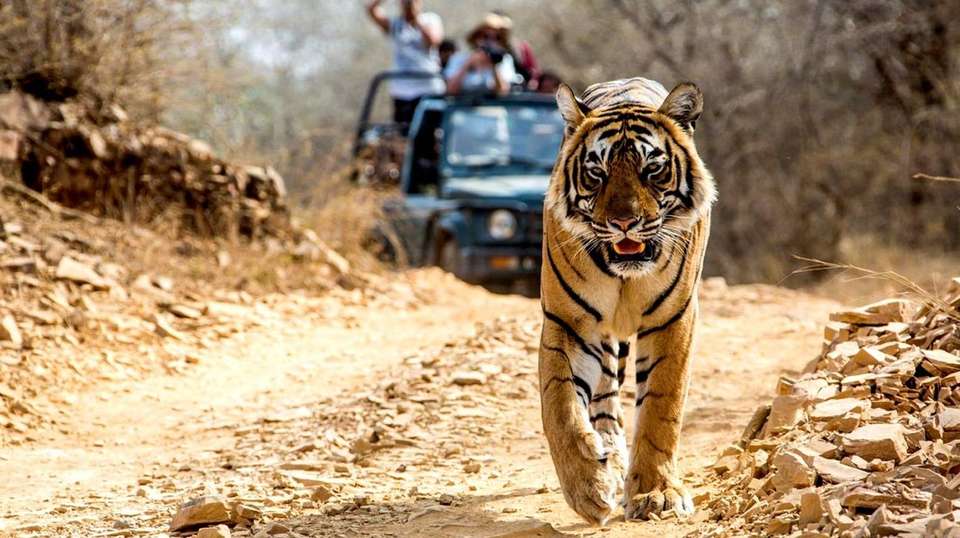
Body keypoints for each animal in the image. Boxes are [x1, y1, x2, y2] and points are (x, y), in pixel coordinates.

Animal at [538, 77, 716, 524]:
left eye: (652, 169)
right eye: (596, 173)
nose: (623, 222)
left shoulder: (674, 319)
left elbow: (660, 410)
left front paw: (657, 494)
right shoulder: (568, 322)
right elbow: (560, 407)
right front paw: (588, 487)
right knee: (604, 399)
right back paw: (609, 456)